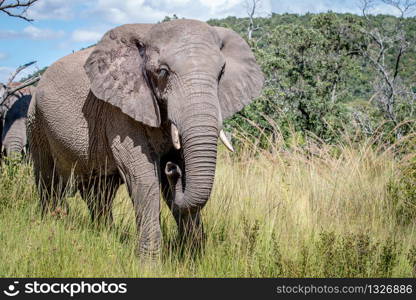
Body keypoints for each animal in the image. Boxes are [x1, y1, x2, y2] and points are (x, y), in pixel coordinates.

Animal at [28, 18, 264, 258]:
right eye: (162, 72)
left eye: (221, 72)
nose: (171, 169)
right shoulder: (120, 109)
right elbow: (142, 176)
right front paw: (149, 263)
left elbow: (181, 175)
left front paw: (193, 258)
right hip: (36, 121)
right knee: (48, 181)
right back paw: (48, 224)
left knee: (99, 192)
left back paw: (103, 234)